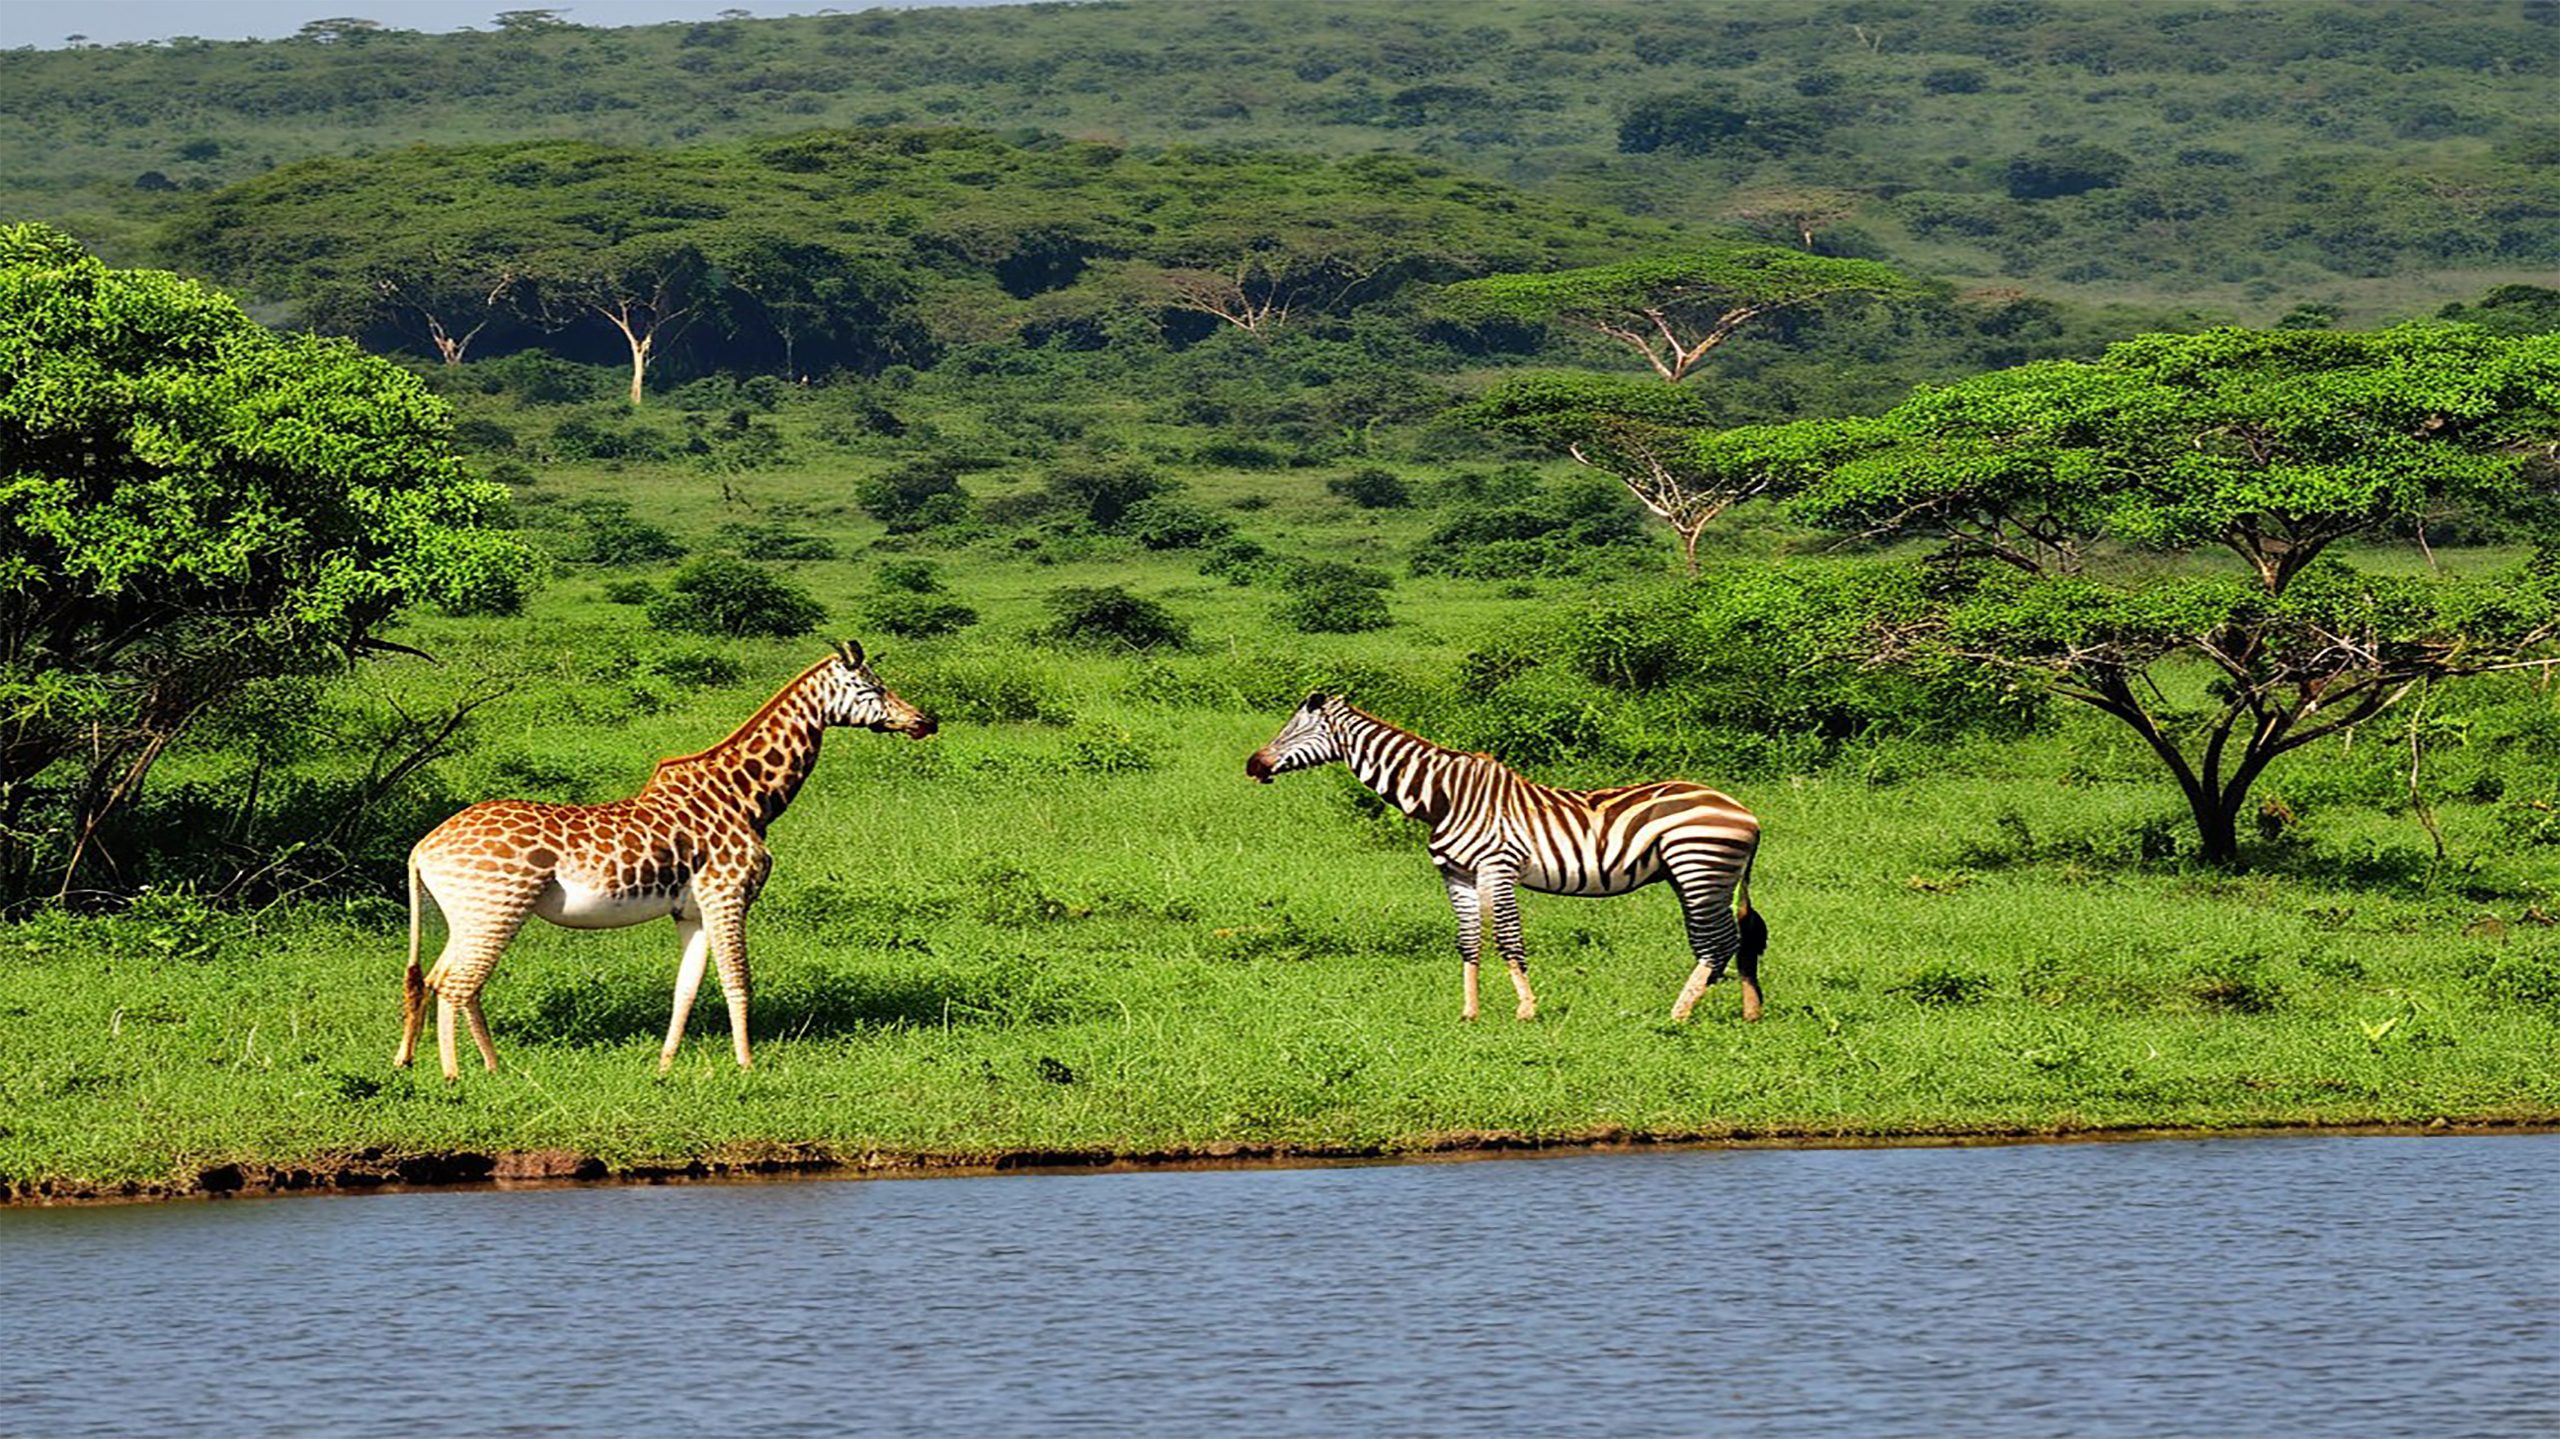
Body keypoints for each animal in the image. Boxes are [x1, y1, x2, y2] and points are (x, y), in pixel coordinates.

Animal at [391, 637, 931, 1075]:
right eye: (873, 688)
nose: (926, 721)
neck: (749, 799)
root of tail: (423, 847)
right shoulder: (727, 893)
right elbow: (738, 980)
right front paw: (746, 1064)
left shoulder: (691, 909)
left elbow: (686, 988)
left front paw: (665, 1065)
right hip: (498, 906)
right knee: (458, 983)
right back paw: (459, 1075)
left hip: (467, 912)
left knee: (437, 978)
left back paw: (479, 1065)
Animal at [1249, 691, 1771, 1019]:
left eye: (1294, 733)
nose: (1253, 764)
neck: (1444, 798)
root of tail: (1745, 812)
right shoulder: (1456, 874)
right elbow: (1468, 941)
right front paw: (1470, 1012)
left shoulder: (1496, 867)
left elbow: (1507, 939)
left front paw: (1526, 1008)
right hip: (1697, 875)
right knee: (1734, 940)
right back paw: (1749, 1011)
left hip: (1700, 867)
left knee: (1718, 941)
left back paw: (1677, 1014)